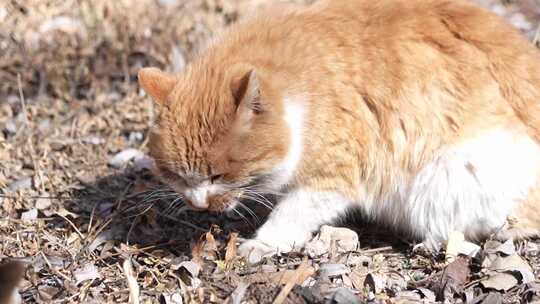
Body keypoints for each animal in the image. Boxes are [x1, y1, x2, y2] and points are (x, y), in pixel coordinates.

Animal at [137, 0, 540, 262]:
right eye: (176, 176)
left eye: (218, 175)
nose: (198, 204)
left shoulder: (333, 175)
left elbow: (290, 214)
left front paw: (262, 244)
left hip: (447, 177)